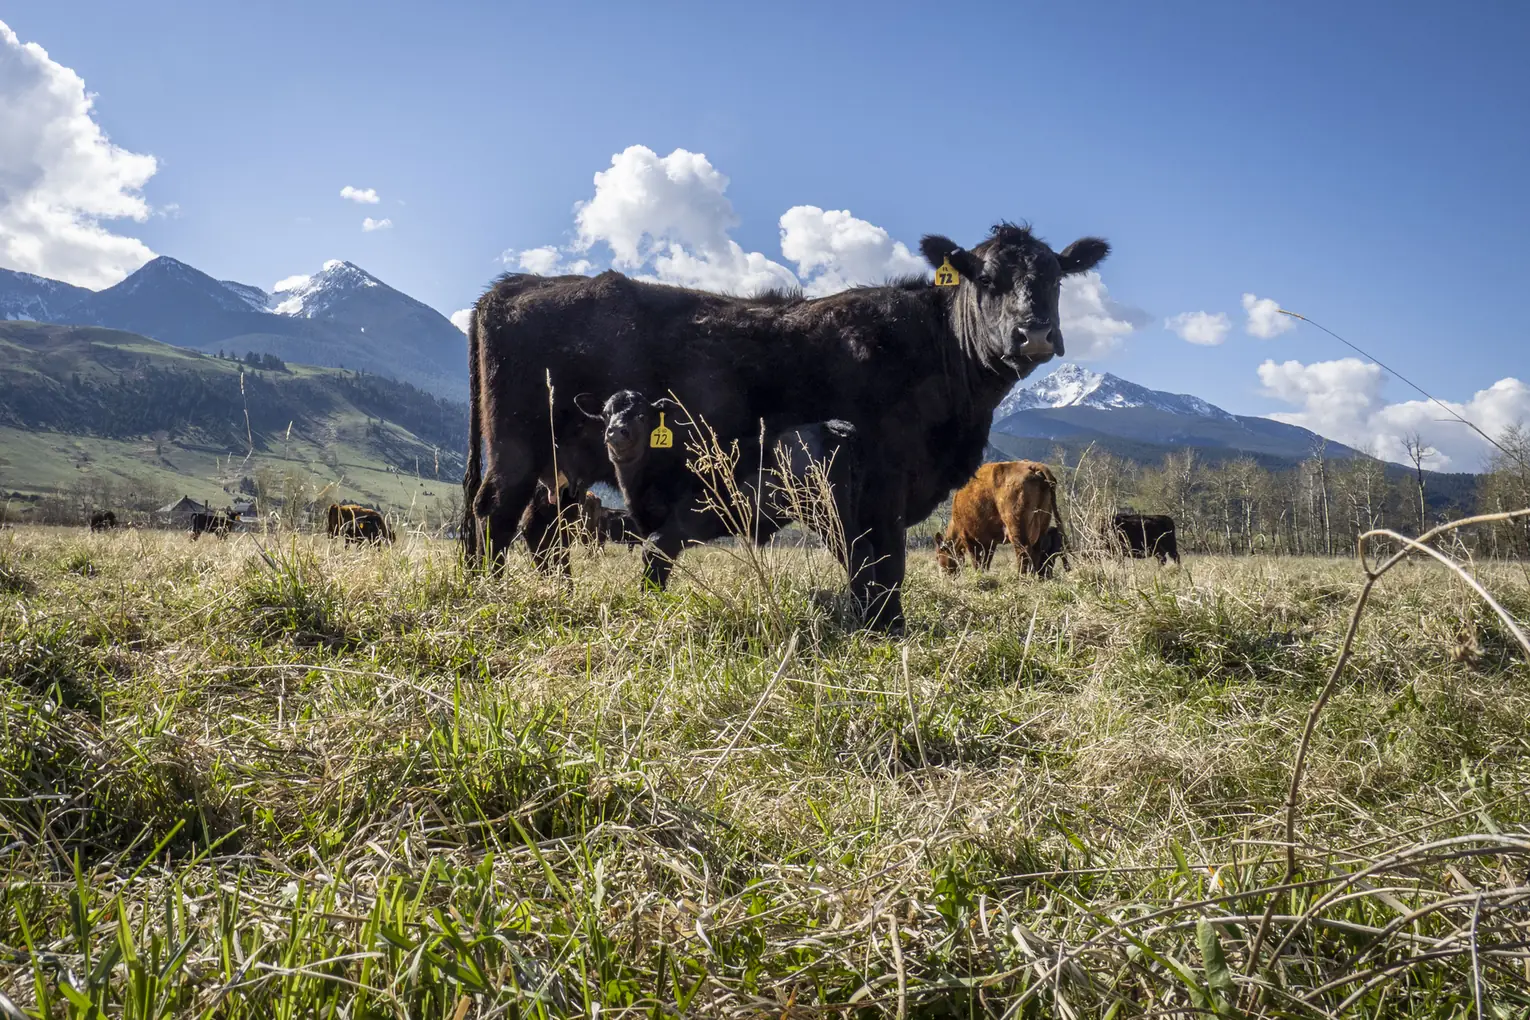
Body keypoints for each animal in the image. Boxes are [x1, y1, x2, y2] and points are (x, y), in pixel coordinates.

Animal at [591, 389, 866, 593]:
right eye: (606, 415)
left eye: (641, 415)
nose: (616, 432)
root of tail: (829, 425)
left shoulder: (692, 518)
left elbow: (654, 548)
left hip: (827, 512)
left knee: (857, 551)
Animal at [934, 460, 1066, 578]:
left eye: (938, 556)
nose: (943, 576)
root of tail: (1032, 466)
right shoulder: (989, 542)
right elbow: (986, 562)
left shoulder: (968, 537)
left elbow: (976, 561)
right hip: (1042, 523)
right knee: (1036, 551)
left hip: (1016, 526)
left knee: (1022, 552)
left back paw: (1021, 578)